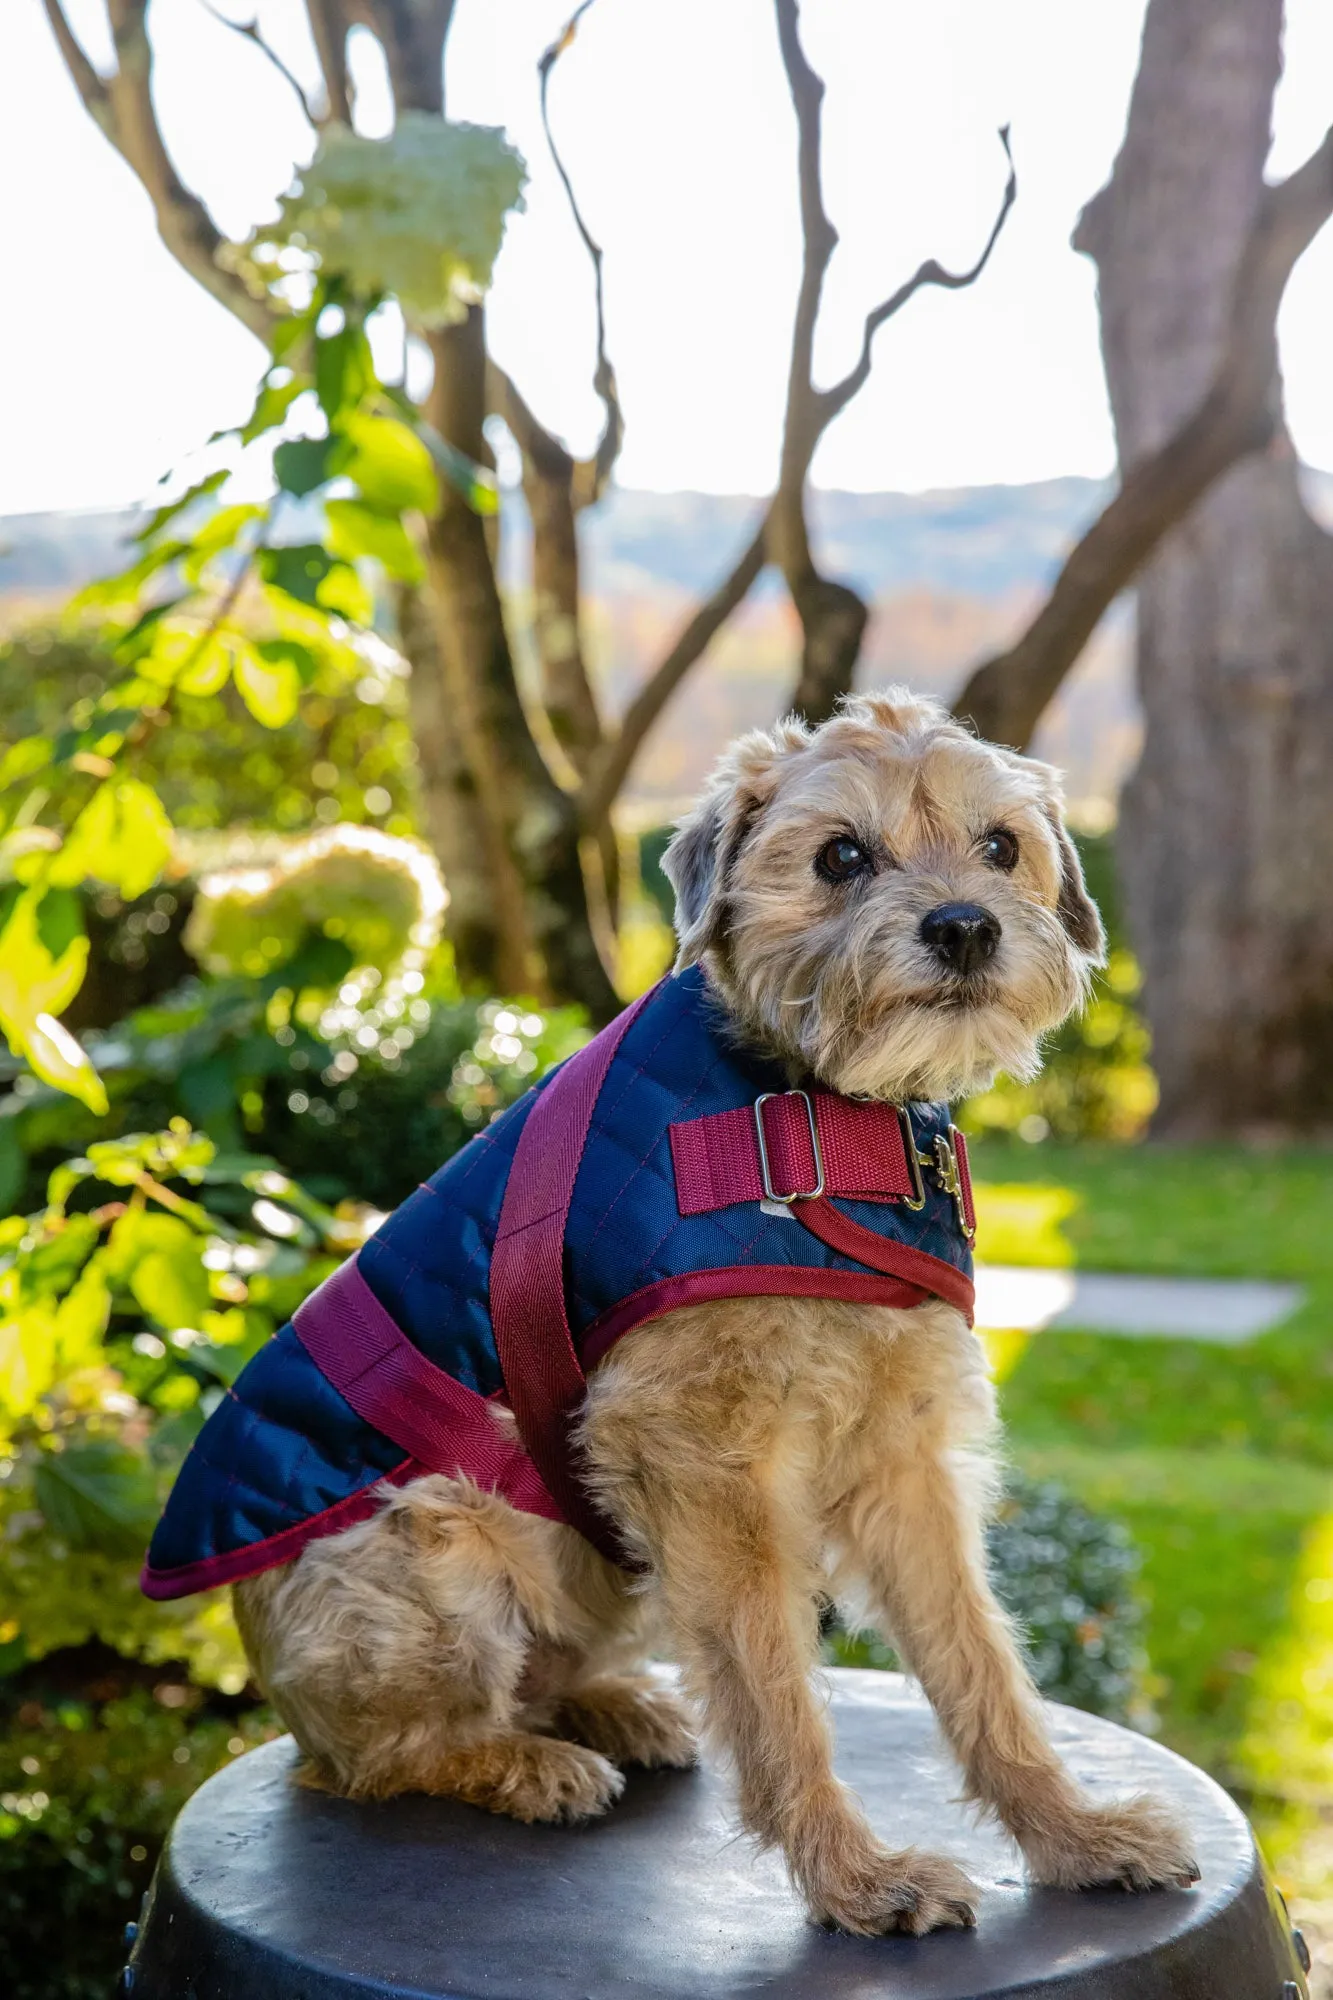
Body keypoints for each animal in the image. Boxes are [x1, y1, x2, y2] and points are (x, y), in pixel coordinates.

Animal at [210, 692, 1192, 1936]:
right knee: (373, 1758)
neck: (819, 1110)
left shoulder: (903, 1461)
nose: (965, 926)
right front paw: (856, 1879)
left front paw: (1071, 1834)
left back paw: (610, 1706)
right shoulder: (706, 1470)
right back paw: (525, 1762)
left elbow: (981, 1664)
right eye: (839, 855)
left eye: (1000, 845)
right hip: (436, 1530)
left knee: (533, 1682)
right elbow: (776, 1693)